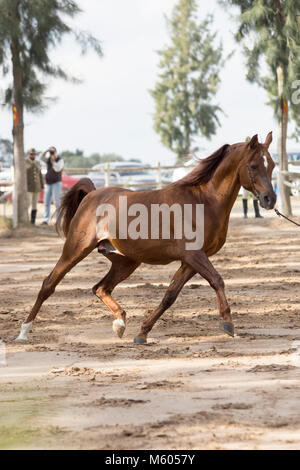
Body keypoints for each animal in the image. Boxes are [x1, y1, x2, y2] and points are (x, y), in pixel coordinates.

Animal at [15, 132, 276, 342]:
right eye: (254, 165)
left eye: (272, 164)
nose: (269, 199)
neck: (203, 201)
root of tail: (92, 196)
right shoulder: (194, 255)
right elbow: (217, 280)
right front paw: (227, 324)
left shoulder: (190, 261)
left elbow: (170, 296)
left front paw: (142, 333)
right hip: (76, 249)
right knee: (48, 284)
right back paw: (23, 332)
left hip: (126, 261)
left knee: (100, 288)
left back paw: (120, 323)